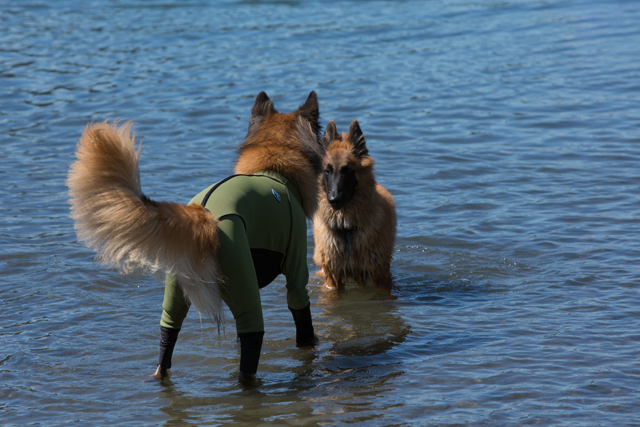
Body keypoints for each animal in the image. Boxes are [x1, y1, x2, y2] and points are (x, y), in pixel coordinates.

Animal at [69, 91, 324, 384]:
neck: (274, 169)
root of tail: (202, 214)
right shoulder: (296, 270)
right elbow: (303, 320)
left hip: (176, 290)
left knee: (167, 338)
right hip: (243, 286)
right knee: (250, 345)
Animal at [314, 118, 398, 290]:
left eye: (347, 171)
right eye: (327, 171)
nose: (333, 199)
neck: (346, 228)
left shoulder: (379, 276)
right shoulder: (332, 278)